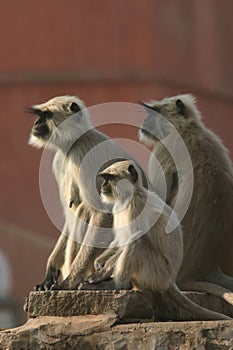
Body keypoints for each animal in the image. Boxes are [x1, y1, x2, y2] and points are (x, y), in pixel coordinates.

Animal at [27, 94, 147, 292]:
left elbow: (103, 213)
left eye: (46, 115)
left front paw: (69, 282)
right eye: (39, 116)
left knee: (85, 209)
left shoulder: (84, 155)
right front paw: (49, 273)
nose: (36, 123)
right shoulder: (60, 161)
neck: (75, 141)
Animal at [83, 160, 230, 322]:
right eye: (104, 178)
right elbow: (119, 240)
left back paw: (117, 285)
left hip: (156, 271)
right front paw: (99, 261)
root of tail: (170, 281)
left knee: (137, 242)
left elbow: (132, 238)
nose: (103, 186)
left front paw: (99, 274)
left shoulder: (136, 206)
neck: (130, 195)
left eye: (110, 178)